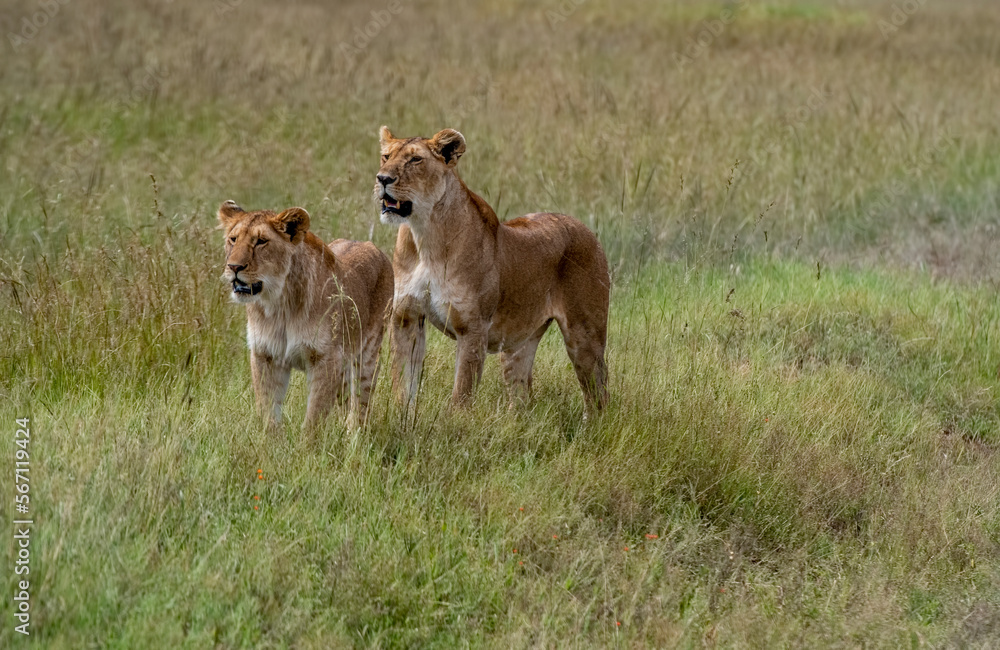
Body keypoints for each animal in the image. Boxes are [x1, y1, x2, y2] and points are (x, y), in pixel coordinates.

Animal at [218, 200, 393, 431]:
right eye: (233, 239)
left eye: (261, 242)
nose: (234, 267)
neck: (279, 305)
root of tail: (371, 245)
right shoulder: (265, 355)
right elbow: (268, 413)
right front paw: (270, 440)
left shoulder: (326, 359)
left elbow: (313, 420)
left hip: (367, 355)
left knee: (360, 404)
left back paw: (354, 434)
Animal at [374, 127, 610, 414]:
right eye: (386, 156)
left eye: (415, 160)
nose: (383, 178)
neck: (423, 233)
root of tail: (584, 228)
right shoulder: (405, 317)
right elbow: (403, 383)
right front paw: (402, 417)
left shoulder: (473, 327)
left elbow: (462, 392)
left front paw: (455, 422)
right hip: (519, 344)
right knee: (521, 394)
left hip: (584, 335)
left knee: (598, 394)